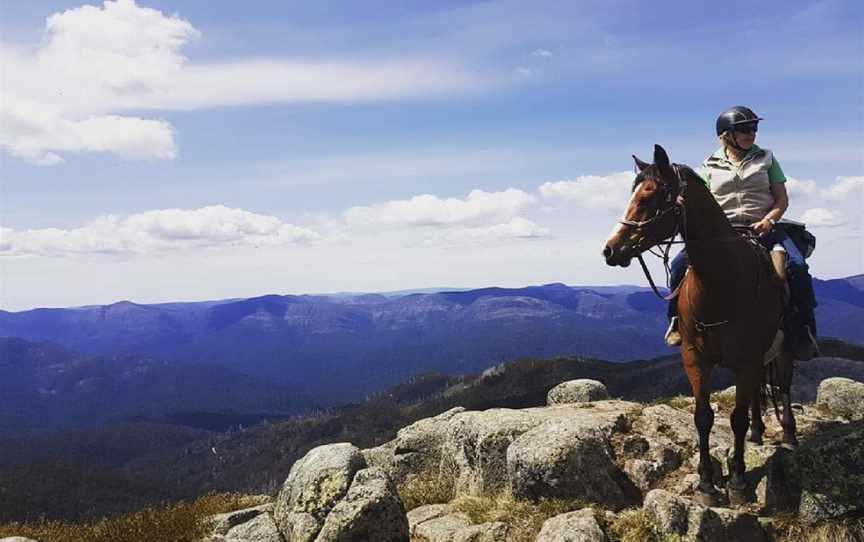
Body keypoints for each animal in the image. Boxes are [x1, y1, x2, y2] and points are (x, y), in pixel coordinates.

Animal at [600, 147, 796, 508]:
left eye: (648, 197)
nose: (610, 249)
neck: (722, 282)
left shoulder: (746, 360)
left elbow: (736, 418)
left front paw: (738, 481)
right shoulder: (694, 357)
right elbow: (703, 418)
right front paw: (707, 483)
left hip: (785, 347)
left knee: (785, 385)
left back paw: (788, 434)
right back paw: (758, 433)